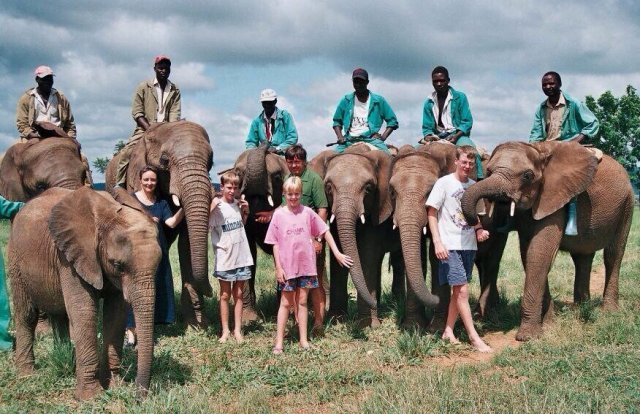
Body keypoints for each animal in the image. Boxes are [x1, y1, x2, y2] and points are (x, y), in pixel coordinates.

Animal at [7, 188, 161, 402]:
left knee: (60, 315)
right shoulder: (69, 258)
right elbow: (84, 311)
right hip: (15, 259)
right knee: (27, 314)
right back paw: (27, 375)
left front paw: (115, 386)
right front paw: (91, 397)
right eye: (118, 265)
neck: (106, 214)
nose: (139, 397)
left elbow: (115, 315)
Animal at [460, 141, 636, 342]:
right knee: (583, 257)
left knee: (613, 254)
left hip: (628, 204)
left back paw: (609, 312)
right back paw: (581, 309)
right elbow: (529, 254)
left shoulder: (554, 198)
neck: (538, 149)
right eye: (488, 171)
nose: (477, 221)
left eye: (527, 176)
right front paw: (550, 324)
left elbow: (539, 253)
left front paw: (527, 337)